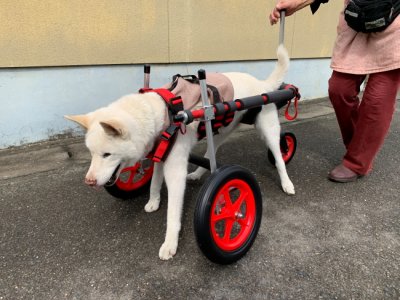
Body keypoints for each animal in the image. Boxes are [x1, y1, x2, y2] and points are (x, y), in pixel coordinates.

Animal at [66, 44, 294, 260]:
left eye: (107, 154)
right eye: (91, 153)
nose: (89, 181)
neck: (162, 114)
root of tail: (261, 84)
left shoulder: (174, 171)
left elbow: (172, 214)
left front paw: (170, 243)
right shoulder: (160, 154)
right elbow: (154, 182)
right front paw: (153, 201)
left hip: (268, 129)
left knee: (277, 157)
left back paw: (286, 182)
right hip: (219, 131)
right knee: (212, 156)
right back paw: (201, 175)